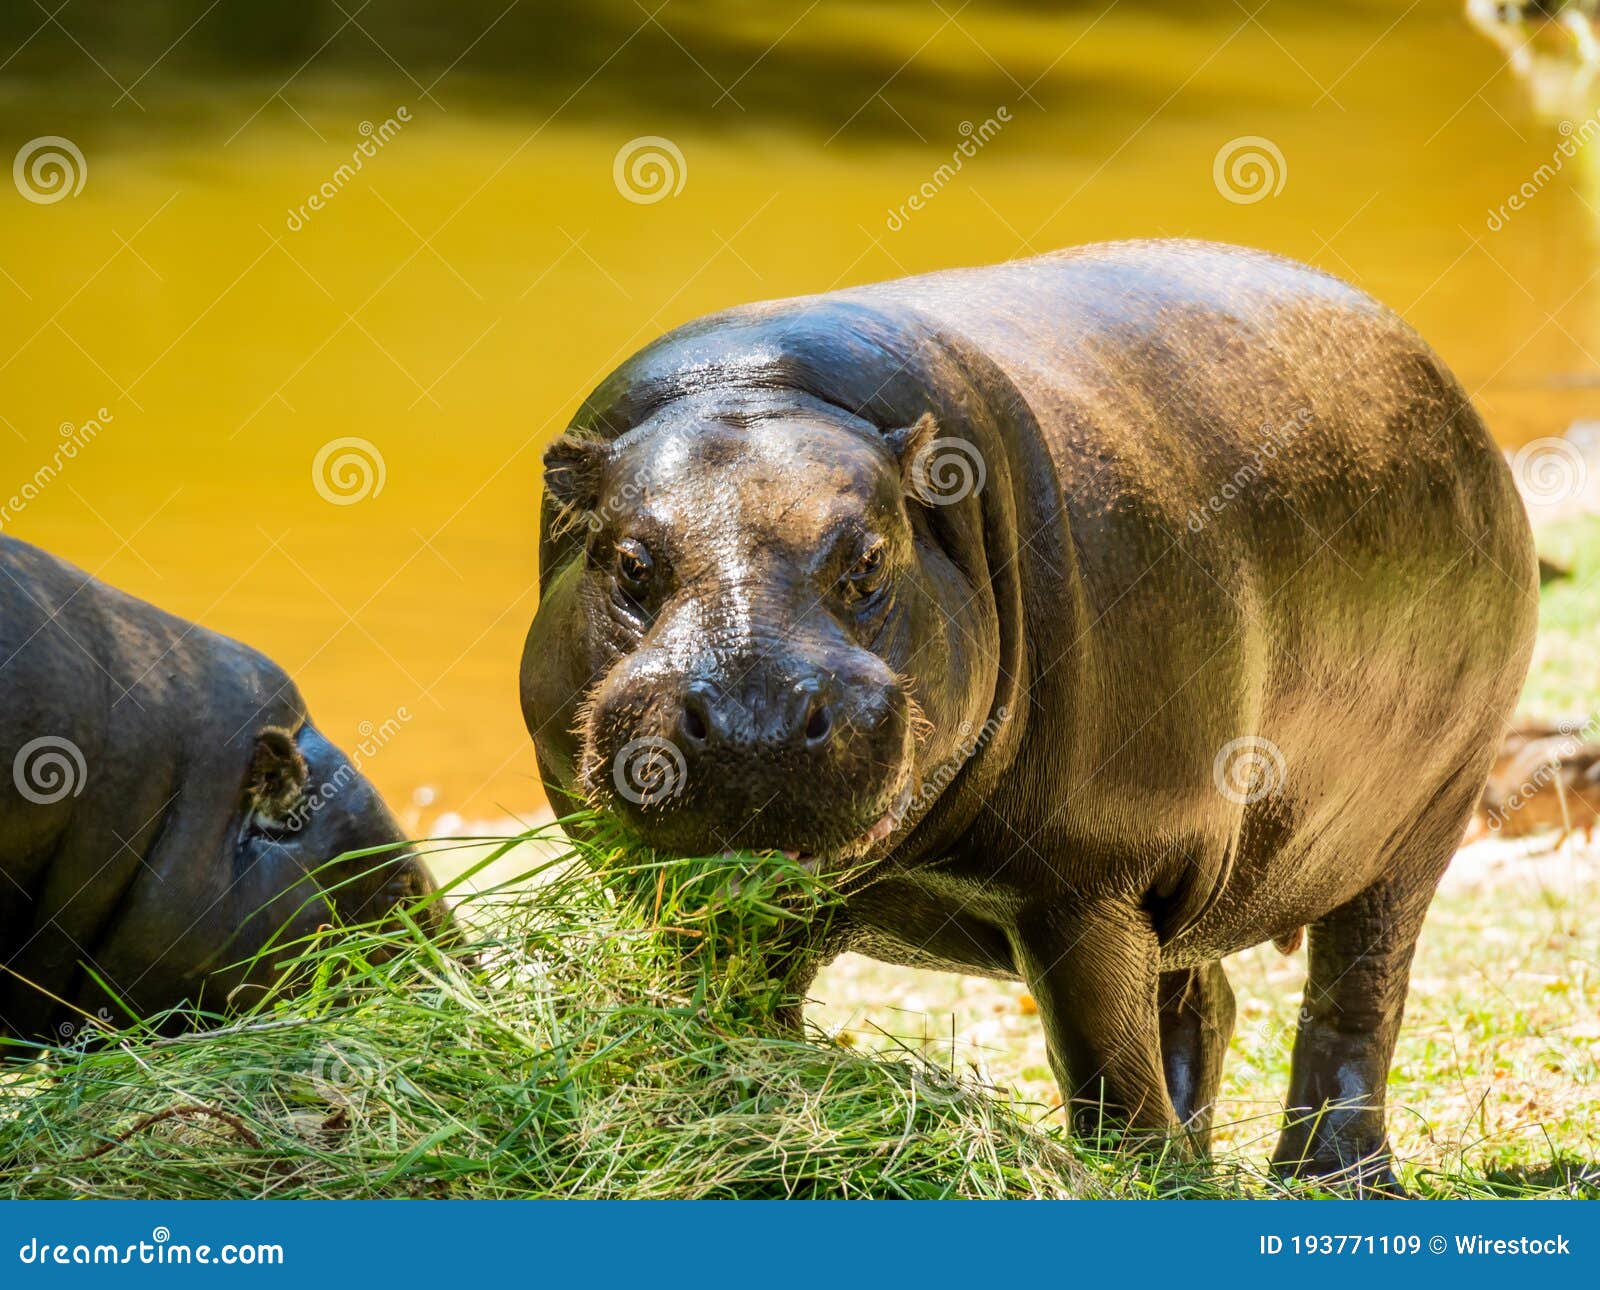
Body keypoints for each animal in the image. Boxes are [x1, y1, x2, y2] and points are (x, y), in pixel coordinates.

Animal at [520, 240, 1537, 1191]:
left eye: (869, 559)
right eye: (627, 560)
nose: (754, 716)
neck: (759, 390)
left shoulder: (1086, 882)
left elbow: (1104, 1067)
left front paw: (1136, 1179)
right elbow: (724, 996)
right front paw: (734, 1096)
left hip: (1417, 825)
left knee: (1353, 1001)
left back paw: (1331, 1181)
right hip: (1191, 867)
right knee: (1200, 1002)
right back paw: (1210, 1162)